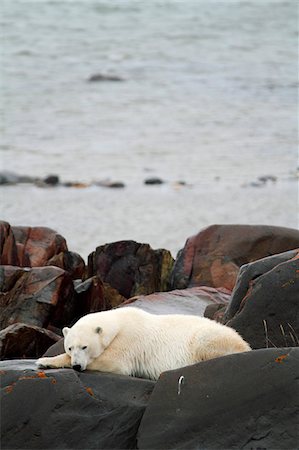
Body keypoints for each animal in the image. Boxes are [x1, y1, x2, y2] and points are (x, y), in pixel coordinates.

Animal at [38, 306, 253, 380]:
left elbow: (115, 362)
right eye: (70, 347)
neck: (119, 322)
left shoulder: (130, 339)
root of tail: (245, 344)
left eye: (85, 347)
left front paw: (45, 360)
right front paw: (45, 361)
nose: (76, 365)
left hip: (210, 337)